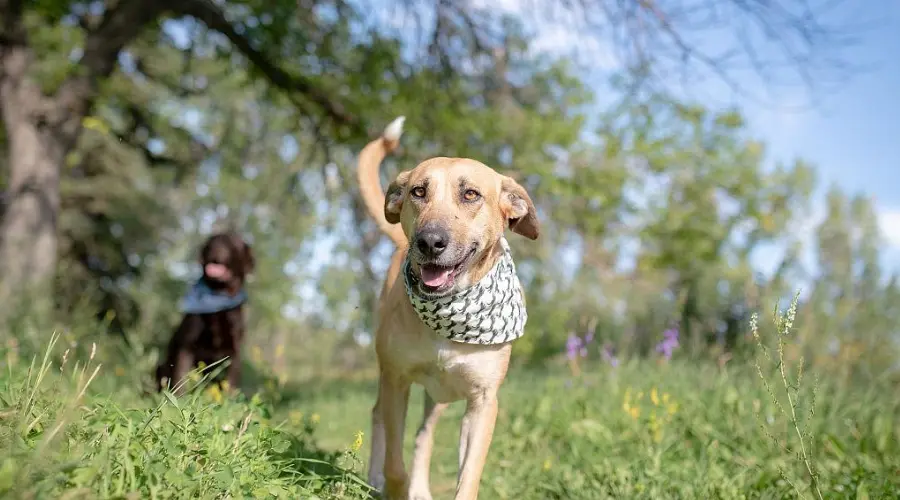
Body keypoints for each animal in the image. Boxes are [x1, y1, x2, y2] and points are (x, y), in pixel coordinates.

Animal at [155, 231, 253, 394]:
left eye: (232, 243)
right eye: (212, 242)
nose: (215, 249)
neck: (217, 295)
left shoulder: (234, 353)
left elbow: (231, 383)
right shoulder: (187, 345)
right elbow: (180, 377)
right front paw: (177, 398)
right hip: (160, 366)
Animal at [356, 118, 540, 500]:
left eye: (470, 194)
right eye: (418, 192)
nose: (429, 241)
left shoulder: (483, 403)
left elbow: (468, 475)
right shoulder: (396, 381)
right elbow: (395, 464)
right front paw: (394, 485)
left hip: (437, 397)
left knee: (423, 435)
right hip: (389, 375)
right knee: (379, 416)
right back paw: (376, 479)